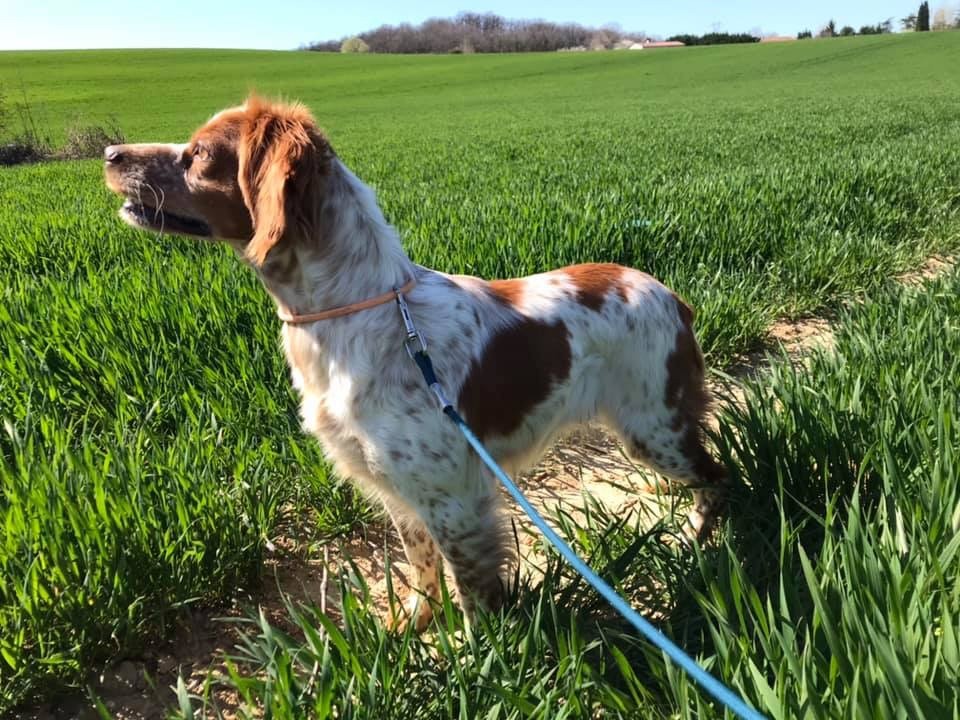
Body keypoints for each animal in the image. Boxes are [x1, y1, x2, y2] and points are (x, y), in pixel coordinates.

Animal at [101, 97, 724, 632]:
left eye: (200, 153)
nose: (109, 154)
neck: (355, 309)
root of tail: (671, 295)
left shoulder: (454, 499)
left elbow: (473, 593)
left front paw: (481, 666)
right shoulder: (399, 488)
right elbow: (420, 562)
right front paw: (414, 622)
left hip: (653, 428)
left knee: (718, 476)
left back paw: (697, 543)